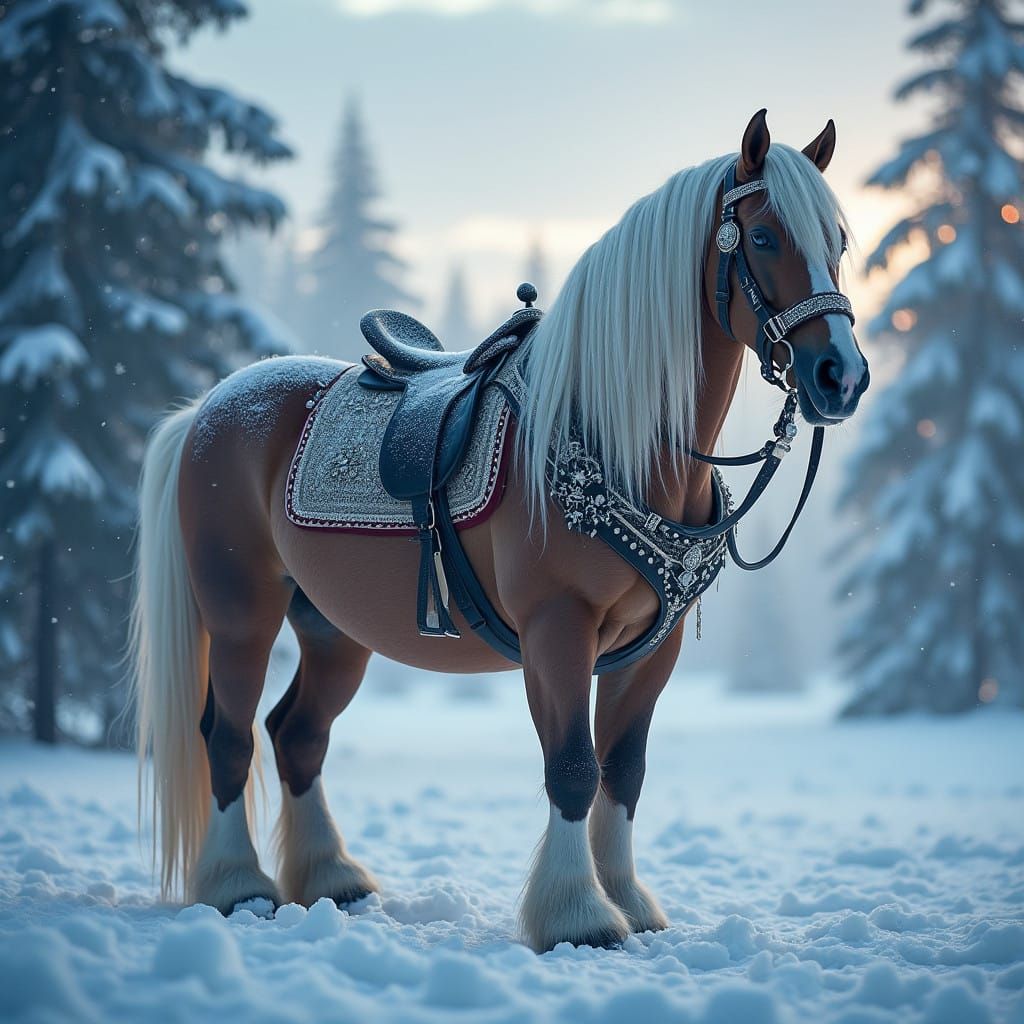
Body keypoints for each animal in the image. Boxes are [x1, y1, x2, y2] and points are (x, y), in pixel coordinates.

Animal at [130, 110, 870, 953]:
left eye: (837, 242)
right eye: (767, 236)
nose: (842, 376)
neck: (611, 437)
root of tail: (208, 410)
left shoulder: (652, 648)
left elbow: (624, 772)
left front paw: (627, 899)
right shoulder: (557, 630)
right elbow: (574, 768)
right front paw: (579, 913)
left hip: (332, 628)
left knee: (297, 735)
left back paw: (330, 876)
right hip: (241, 612)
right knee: (229, 734)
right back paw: (237, 885)